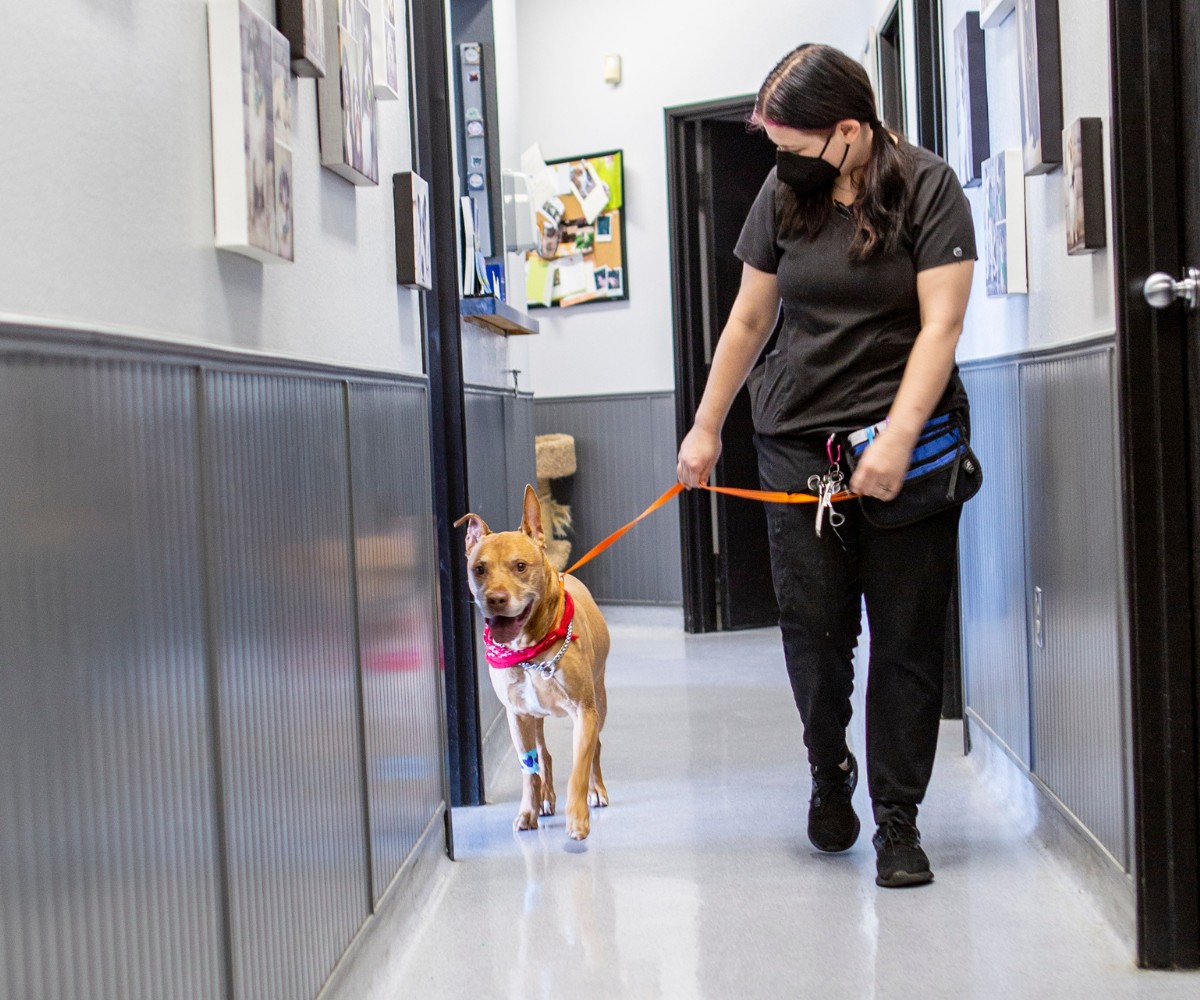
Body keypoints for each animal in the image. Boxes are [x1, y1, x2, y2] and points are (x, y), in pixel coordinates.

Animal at [456, 484, 614, 835]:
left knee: (596, 748)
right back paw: (545, 799)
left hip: (599, 698)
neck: (529, 650)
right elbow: (529, 770)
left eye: (520, 566)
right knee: (543, 755)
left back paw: (596, 789)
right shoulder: (517, 715)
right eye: (479, 569)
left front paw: (577, 817)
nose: (496, 599)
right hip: (535, 716)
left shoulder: (583, 711)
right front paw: (528, 809)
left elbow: (580, 765)